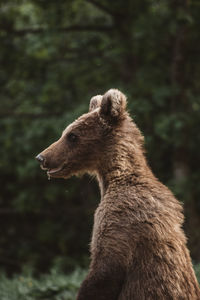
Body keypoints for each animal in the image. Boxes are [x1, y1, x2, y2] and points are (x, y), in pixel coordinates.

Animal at [36, 89, 200, 300]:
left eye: (72, 135)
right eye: (66, 132)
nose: (42, 157)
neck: (114, 179)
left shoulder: (120, 218)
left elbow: (105, 270)